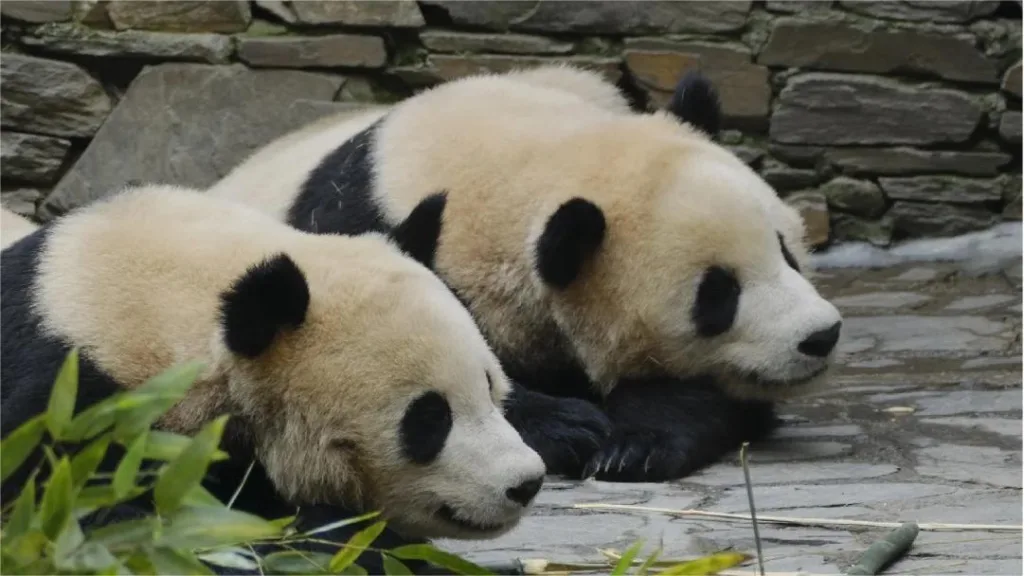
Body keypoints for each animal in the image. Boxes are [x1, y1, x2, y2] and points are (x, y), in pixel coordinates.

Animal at [208, 65, 844, 483]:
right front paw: (573, 428)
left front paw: (632, 445)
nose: (821, 336)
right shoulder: (370, 241)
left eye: (786, 250)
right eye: (719, 294)